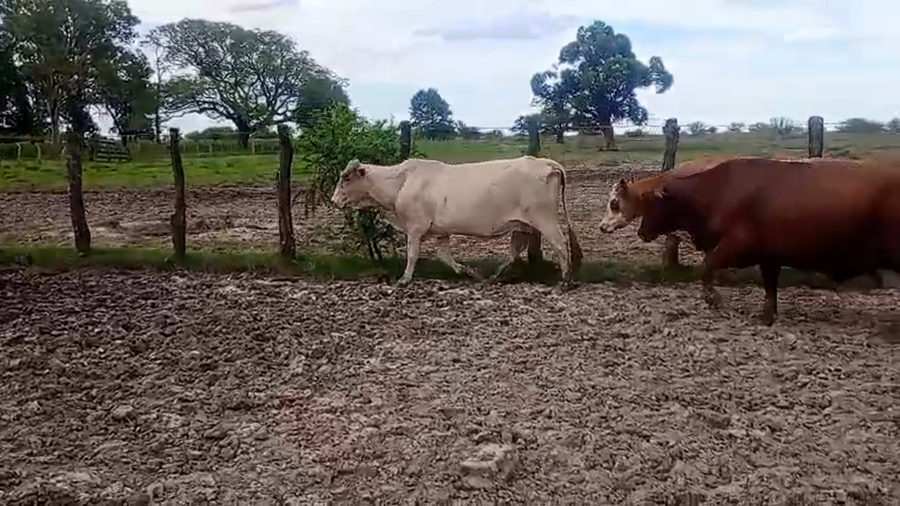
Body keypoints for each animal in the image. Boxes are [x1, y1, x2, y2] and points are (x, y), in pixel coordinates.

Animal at [330, 156, 583, 288]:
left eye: (345, 178)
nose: (333, 200)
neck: (401, 182)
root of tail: (546, 163)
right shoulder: (441, 231)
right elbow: (444, 256)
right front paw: (467, 271)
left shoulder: (415, 228)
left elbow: (412, 254)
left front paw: (404, 279)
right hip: (522, 224)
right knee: (515, 252)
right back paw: (494, 276)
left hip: (545, 220)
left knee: (560, 245)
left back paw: (565, 280)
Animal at [636, 157, 900, 325]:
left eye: (652, 205)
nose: (641, 232)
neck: (719, 191)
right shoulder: (769, 256)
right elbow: (770, 286)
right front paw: (767, 315)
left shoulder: (735, 245)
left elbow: (706, 267)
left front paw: (713, 299)